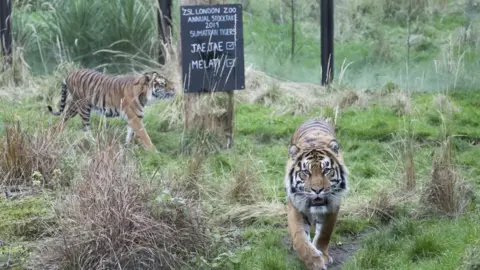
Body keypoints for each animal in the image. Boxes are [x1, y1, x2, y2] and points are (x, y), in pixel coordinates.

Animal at [45, 68, 174, 152]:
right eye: (162, 84)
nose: (174, 89)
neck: (145, 95)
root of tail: (70, 73)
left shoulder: (135, 117)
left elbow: (130, 134)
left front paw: (128, 149)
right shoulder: (135, 118)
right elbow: (144, 136)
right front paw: (154, 152)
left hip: (74, 105)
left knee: (62, 119)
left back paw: (54, 134)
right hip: (83, 107)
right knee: (85, 128)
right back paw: (95, 144)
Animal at [284, 118, 348, 270]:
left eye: (326, 170)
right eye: (306, 172)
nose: (317, 190)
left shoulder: (333, 205)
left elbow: (325, 233)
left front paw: (323, 255)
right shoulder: (295, 205)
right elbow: (299, 237)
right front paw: (314, 261)